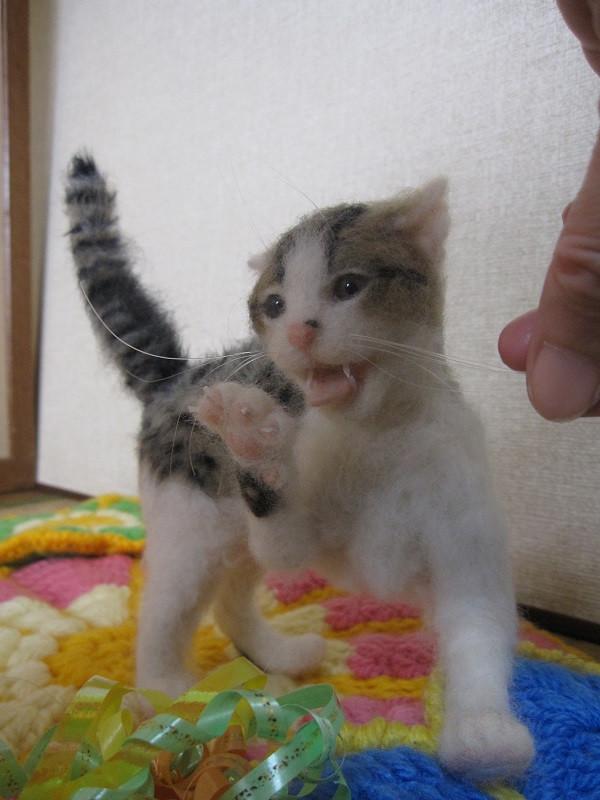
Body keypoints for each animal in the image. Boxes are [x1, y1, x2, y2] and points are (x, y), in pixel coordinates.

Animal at [65, 154, 534, 781]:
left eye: (348, 286)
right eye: (275, 304)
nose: (297, 331)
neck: (377, 435)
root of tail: (176, 376)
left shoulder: (464, 543)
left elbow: (478, 633)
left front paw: (484, 734)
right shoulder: (289, 534)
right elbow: (282, 532)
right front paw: (253, 435)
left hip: (231, 540)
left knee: (230, 599)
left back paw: (279, 655)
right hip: (193, 526)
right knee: (166, 609)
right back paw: (166, 690)